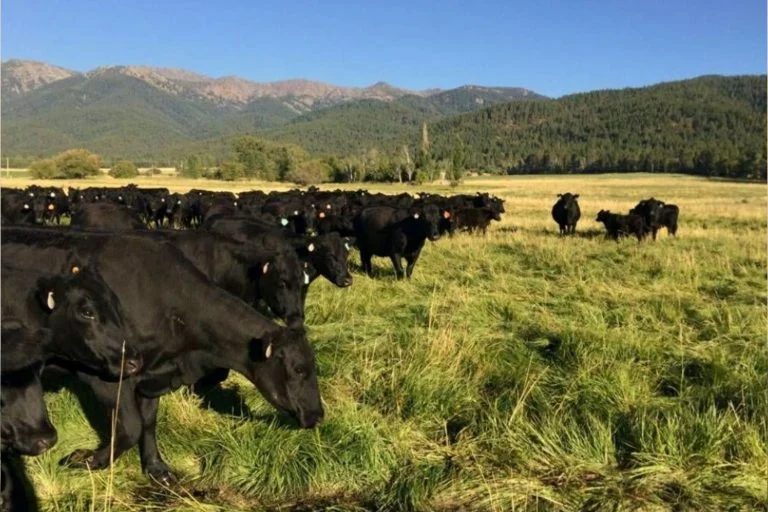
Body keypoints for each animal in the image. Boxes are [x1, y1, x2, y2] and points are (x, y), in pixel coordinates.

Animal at [2, 228, 324, 484]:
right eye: (298, 369)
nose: (318, 415)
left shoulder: (154, 375)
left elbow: (147, 423)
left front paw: (156, 468)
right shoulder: (107, 374)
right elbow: (130, 427)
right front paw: (89, 460)